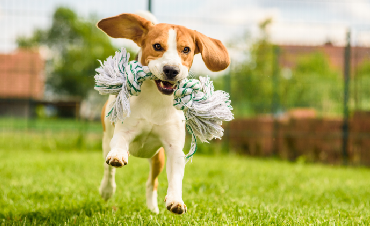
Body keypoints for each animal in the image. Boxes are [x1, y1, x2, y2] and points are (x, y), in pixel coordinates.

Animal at [97, 12, 228, 215]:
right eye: (157, 46)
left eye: (186, 49)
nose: (171, 70)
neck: (155, 101)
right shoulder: (123, 132)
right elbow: (118, 146)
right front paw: (118, 156)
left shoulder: (173, 148)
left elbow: (175, 178)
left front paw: (175, 200)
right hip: (106, 140)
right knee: (108, 169)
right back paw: (107, 189)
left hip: (157, 158)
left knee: (152, 183)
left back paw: (152, 208)